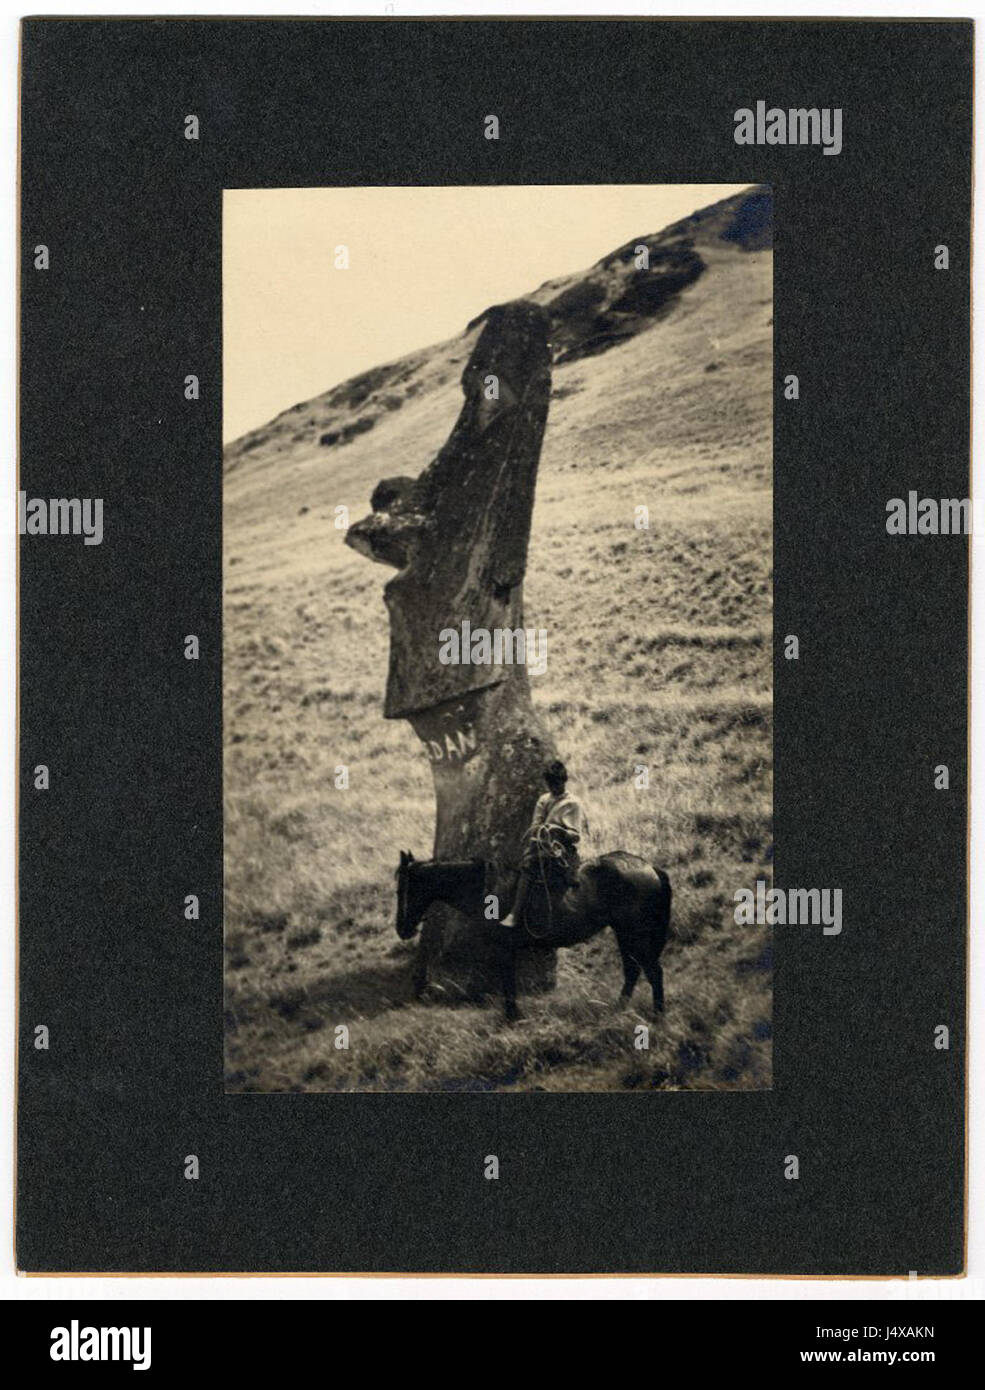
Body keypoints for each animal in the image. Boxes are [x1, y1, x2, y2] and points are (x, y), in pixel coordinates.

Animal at [394, 845, 669, 1023]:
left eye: (402, 889)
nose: (401, 929)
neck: (490, 889)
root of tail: (649, 867)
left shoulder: (504, 948)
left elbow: (507, 981)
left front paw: (512, 1017)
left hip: (635, 933)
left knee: (653, 971)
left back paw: (657, 1015)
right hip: (624, 933)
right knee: (633, 970)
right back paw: (618, 1009)